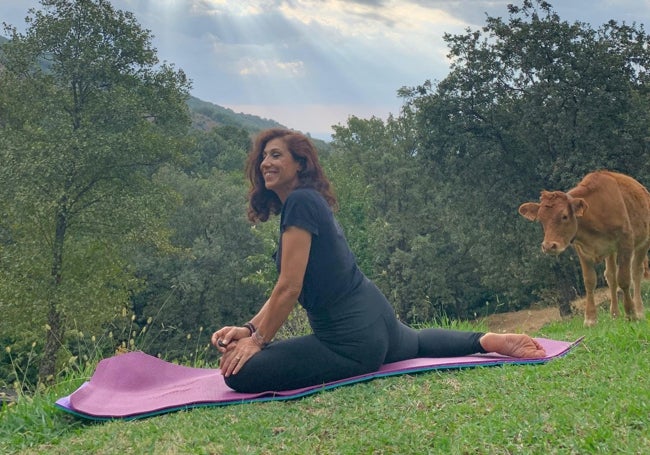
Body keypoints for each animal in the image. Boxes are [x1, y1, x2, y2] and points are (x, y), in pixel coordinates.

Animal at [516, 169, 648, 326]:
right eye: (541, 220)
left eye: (564, 216)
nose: (549, 246)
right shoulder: (582, 250)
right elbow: (589, 281)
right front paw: (590, 319)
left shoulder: (626, 242)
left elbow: (624, 278)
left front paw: (631, 314)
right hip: (611, 251)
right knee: (610, 276)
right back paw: (615, 314)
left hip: (643, 242)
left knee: (636, 272)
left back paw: (639, 311)